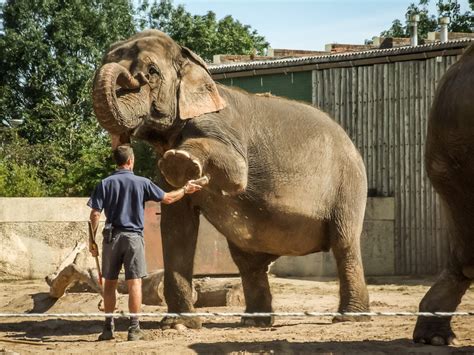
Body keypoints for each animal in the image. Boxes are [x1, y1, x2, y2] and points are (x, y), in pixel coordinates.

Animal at [90, 30, 368, 330]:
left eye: (151, 72)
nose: (131, 77)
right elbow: (176, 223)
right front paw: (178, 324)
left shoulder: (222, 126)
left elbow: (236, 172)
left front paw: (181, 161)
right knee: (249, 262)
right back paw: (254, 322)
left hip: (349, 184)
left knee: (344, 244)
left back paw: (349, 317)